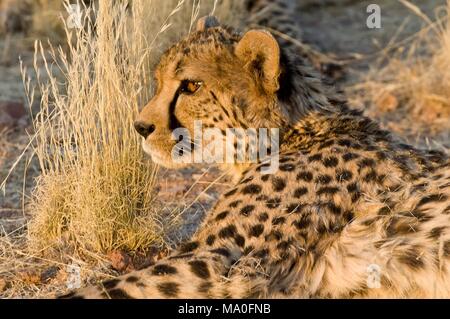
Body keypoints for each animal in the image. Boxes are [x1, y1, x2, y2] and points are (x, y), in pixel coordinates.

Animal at [61, 12, 450, 298]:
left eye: (191, 86)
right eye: (159, 82)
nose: (141, 127)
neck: (290, 134)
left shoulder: (216, 266)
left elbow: (103, 289)